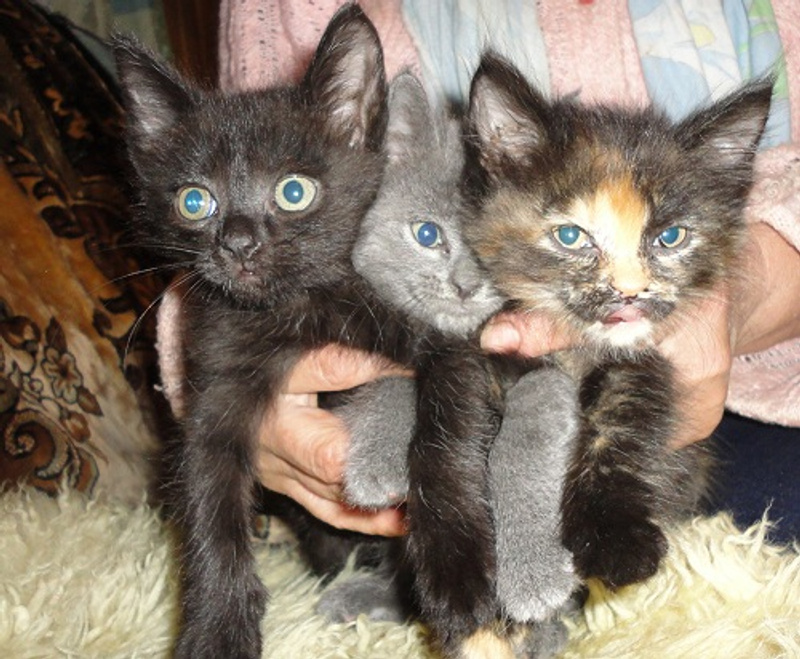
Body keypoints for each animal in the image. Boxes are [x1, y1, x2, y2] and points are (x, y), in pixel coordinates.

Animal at [463, 52, 772, 590]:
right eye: (570, 236)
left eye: (670, 237)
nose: (629, 291)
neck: (577, 351)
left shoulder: (645, 363)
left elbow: (621, 420)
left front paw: (614, 536)